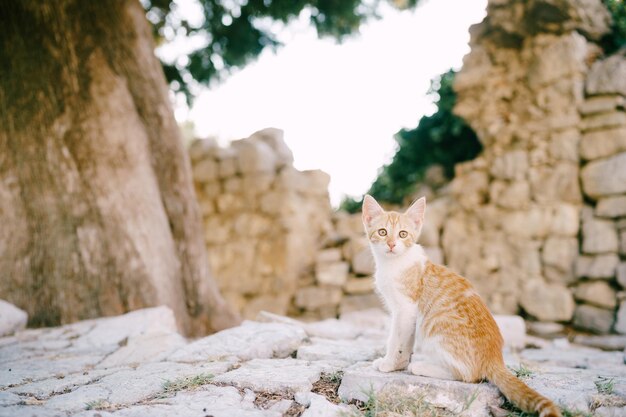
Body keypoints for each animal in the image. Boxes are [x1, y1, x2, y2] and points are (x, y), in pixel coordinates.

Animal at [360, 194, 560, 416]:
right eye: (382, 232)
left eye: (403, 234)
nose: (392, 244)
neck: (393, 264)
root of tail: (495, 357)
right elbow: (405, 341)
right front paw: (399, 363)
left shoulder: (406, 309)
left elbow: (397, 341)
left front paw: (390, 364)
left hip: (434, 324)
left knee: (469, 375)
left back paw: (421, 367)